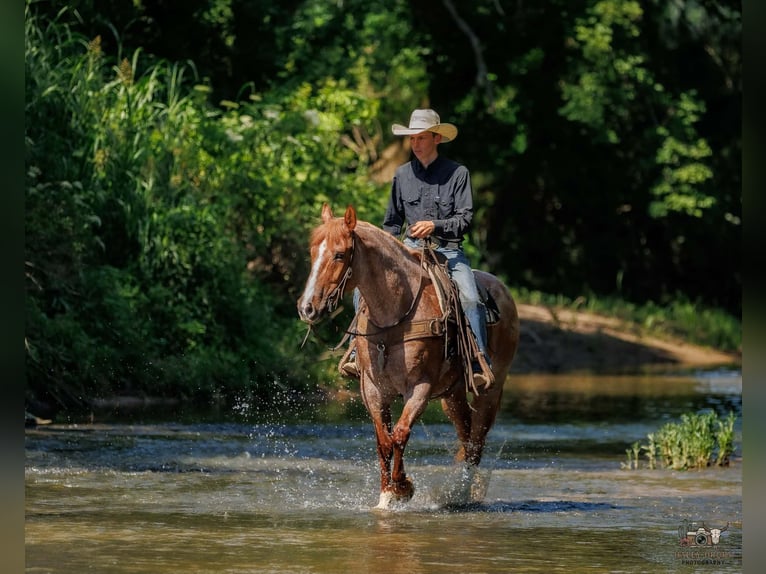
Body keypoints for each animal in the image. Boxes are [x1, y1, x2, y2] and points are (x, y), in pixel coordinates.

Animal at [297, 204, 520, 509]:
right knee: (465, 434)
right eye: (311, 252)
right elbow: (383, 441)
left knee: (475, 443)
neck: (395, 314)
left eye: (339, 254)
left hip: (490, 391)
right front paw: (385, 495)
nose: (307, 308)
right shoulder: (372, 388)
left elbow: (401, 434)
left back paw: (461, 493)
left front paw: (402, 488)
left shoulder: (420, 387)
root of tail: (503, 290)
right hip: (452, 394)